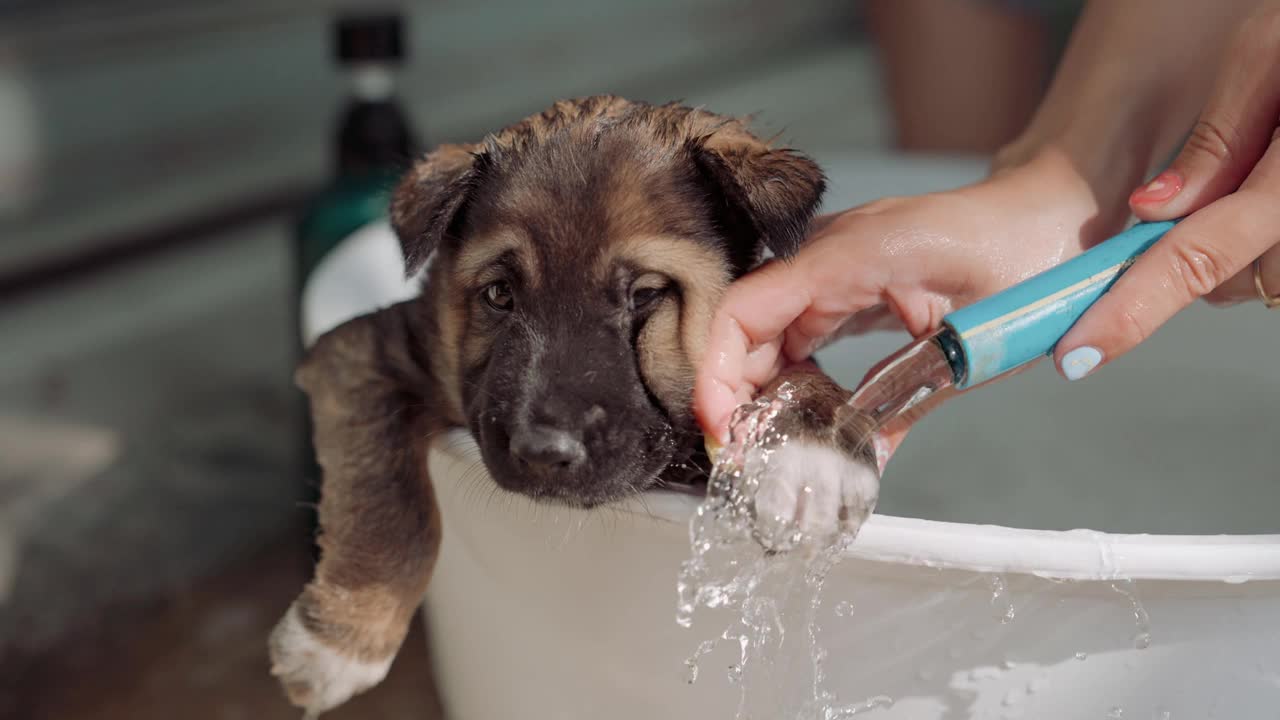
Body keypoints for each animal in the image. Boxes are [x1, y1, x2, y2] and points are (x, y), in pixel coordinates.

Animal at [270, 95, 880, 712]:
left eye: (645, 295)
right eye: (499, 294)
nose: (541, 452)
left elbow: (799, 378)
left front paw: (810, 459)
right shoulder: (368, 349)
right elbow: (388, 495)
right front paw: (340, 640)